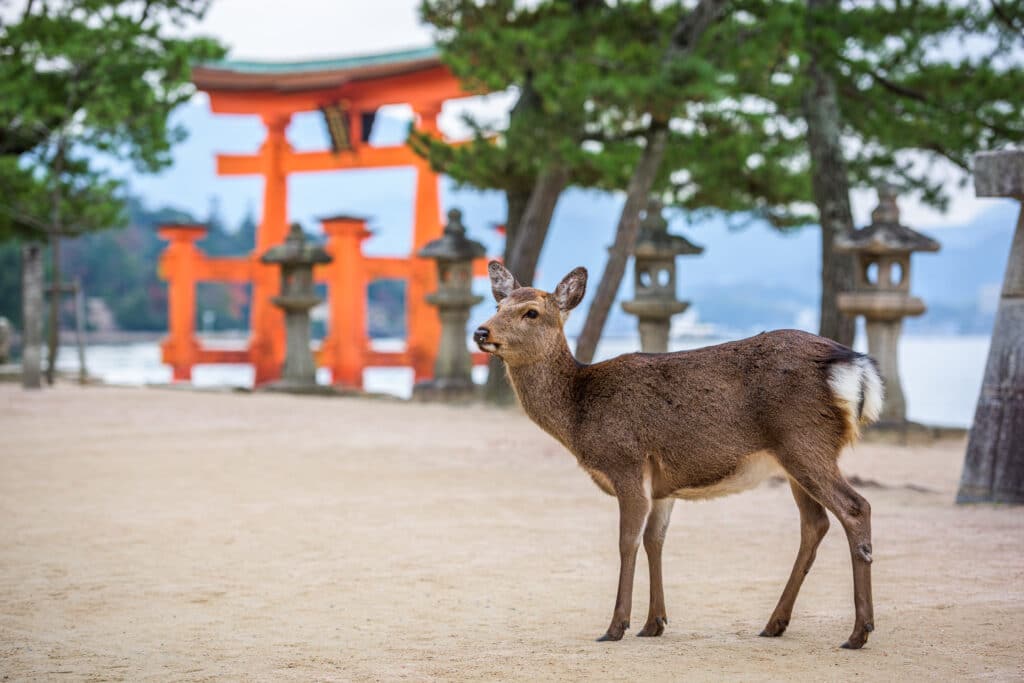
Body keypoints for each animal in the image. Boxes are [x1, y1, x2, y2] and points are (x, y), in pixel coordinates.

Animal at [474, 262, 883, 649]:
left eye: (531, 312)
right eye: (497, 306)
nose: (481, 332)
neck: (579, 416)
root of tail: (854, 366)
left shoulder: (626, 462)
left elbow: (627, 541)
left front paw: (616, 626)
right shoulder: (662, 487)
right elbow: (655, 541)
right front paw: (653, 623)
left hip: (804, 441)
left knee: (855, 507)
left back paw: (858, 632)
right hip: (796, 458)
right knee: (815, 523)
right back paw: (775, 624)